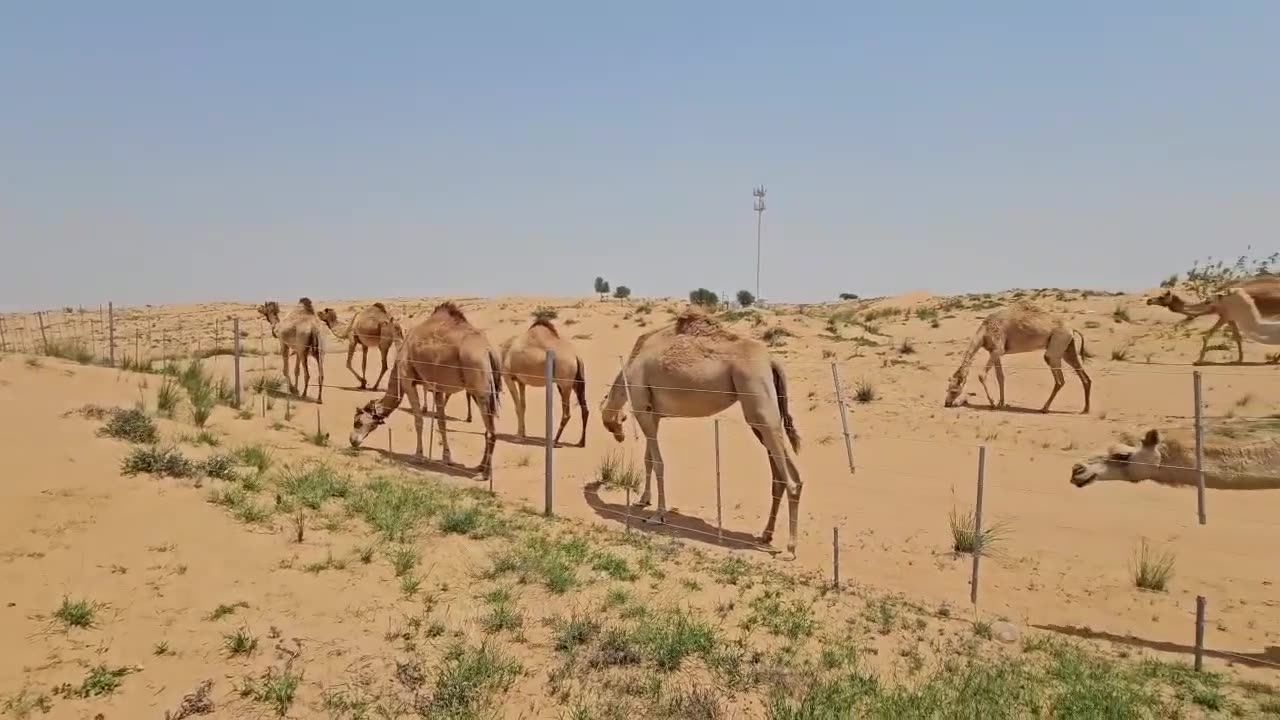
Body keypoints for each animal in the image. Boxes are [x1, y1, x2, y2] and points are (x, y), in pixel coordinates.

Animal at [349, 302, 501, 479]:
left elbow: (418, 420)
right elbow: (442, 422)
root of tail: (488, 351)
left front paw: (418, 456)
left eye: (358, 422)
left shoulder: (408, 381)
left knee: (491, 431)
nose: (352, 440)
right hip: (484, 390)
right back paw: (479, 466)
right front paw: (447, 458)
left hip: (479, 385)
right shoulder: (437, 389)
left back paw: (485, 474)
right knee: (488, 427)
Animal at [498, 318, 588, 447]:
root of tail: (576, 357)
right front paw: (523, 434)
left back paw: (555, 441)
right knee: (585, 410)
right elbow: (523, 406)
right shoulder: (521, 381)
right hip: (577, 382)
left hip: (564, 383)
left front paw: (518, 437)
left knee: (567, 414)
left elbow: (518, 406)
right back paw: (581, 442)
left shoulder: (508, 377)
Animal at [599, 308, 804, 556]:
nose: (619, 436)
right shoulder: (652, 414)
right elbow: (648, 459)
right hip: (760, 412)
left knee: (790, 480)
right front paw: (643, 500)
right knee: (781, 475)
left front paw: (658, 515)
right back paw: (766, 534)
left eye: (617, 421)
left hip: (757, 400)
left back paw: (791, 545)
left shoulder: (641, 407)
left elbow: (658, 463)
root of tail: (771, 360)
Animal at [944, 301, 1091, 413]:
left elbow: (981, 375)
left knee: (1060, 380)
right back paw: (1085, 409)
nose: (946, 403)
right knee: (1084, 377)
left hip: (1056, 345)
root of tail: (1072, 328)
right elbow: (1000, 377)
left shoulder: (997, 349)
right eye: (947, 389)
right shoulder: (995, 352)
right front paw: (1000, 403)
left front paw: (992, 403)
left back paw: (1044, 408)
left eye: (954, 390)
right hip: (1067, 347)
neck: (984, 332)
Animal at [1147, 274, 1280, 363]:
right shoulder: (1230, 318)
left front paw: (1199, 360)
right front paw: (1239, 359)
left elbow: (1207, 336)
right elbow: (1237, 337)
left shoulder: (1224, 315)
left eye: (1161, 297)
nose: (1149, 300)